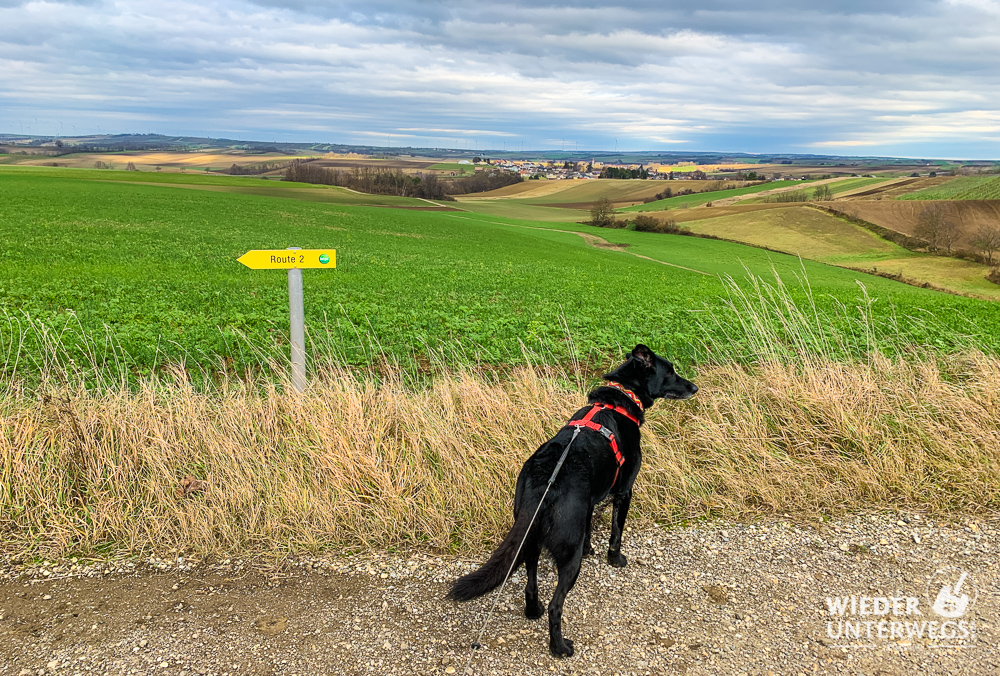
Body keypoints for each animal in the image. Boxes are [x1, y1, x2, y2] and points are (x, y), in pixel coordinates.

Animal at [450, 344, 700, 656]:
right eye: (671, 372)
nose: (695, 387)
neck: (620, 398)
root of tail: (543, 483)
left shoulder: (590, 501)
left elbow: (591, 527)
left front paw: (592, 548)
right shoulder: (624, 491)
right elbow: (616, 533)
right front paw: (615, 559)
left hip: (531, 540)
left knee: (531, 584)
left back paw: (533, 611)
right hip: (569, 554)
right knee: (556, 606)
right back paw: (560, 647)